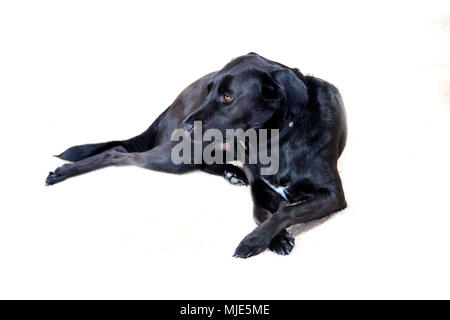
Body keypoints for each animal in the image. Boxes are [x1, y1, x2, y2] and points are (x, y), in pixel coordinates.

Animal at [45, 52, 348, 258]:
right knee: (117, 152)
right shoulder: (259, 192)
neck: (275, 140)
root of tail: (171, 105)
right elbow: (264, 212)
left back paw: (232, 172)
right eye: (210, 90)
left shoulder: (334, 196)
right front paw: (272, 239)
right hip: (178, 155)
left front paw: (257, 240)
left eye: (228, 96)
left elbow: (286, 210)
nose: (185, 126)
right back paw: (62, 172)